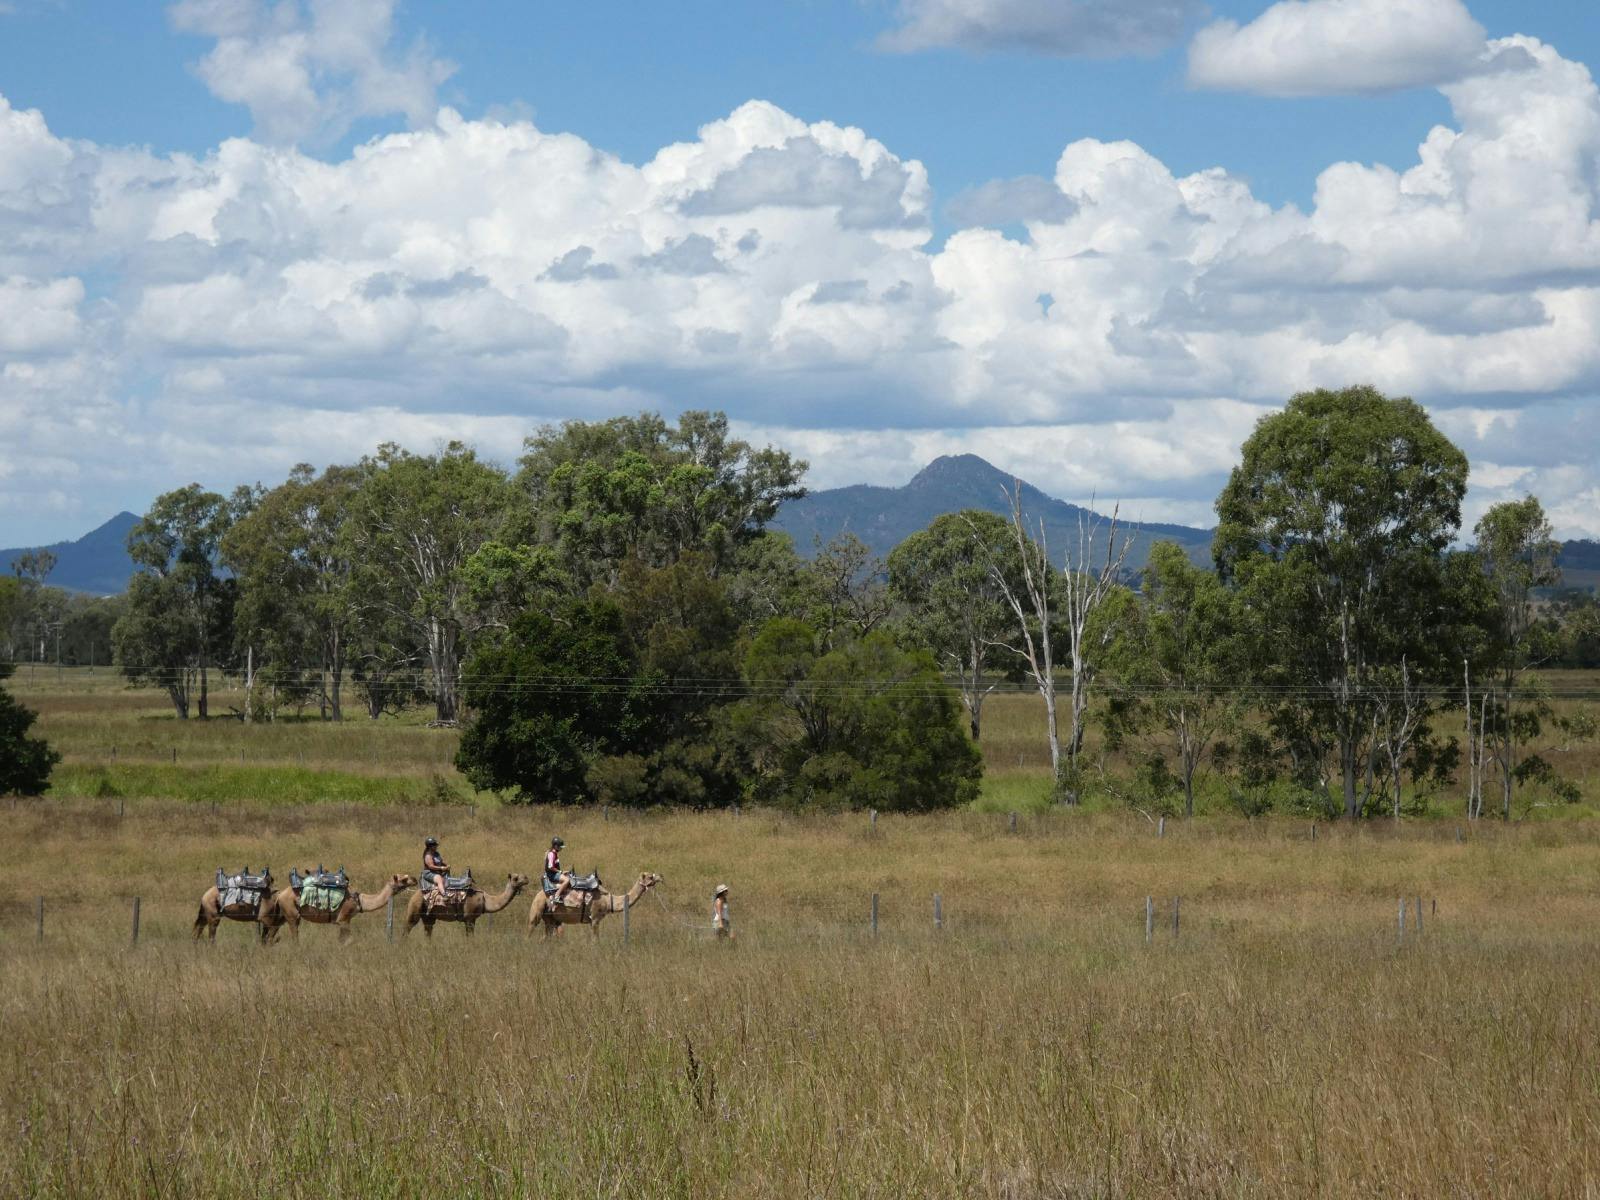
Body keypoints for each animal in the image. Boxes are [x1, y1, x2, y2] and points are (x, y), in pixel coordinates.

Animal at [262, 873, 416, 944]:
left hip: (281, 915)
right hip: (292, 913)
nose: (414, 879)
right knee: (294, 934)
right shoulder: (344, 918)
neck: (359, 900)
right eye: (403, 879)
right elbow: (349, 940)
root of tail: (280, 894)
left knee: (271, 933)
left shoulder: (342, 921)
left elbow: (342, 940)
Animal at [527, 872, 662, 938]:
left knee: (545, 937)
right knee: (531, 928)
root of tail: (538, 894)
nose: (661, 876)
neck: (608, 901)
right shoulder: (595, 918)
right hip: (537, 908)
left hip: (550, 918)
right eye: (650, 876)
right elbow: (595, 940)